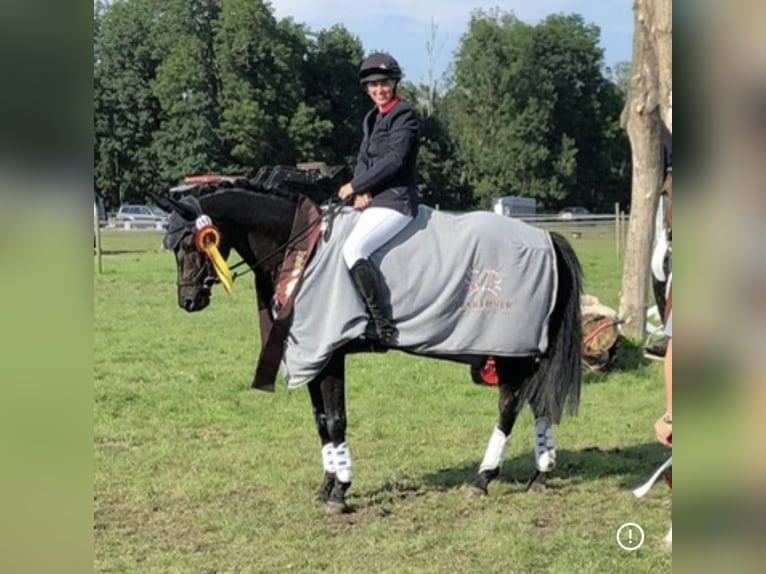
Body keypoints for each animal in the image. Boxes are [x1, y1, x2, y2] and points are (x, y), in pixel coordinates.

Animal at [153, 185, 583, 513]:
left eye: (192, 244)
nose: (188, 301)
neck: (302, 249)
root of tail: (546, 239)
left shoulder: (328, 353)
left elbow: (335, 421)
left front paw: (341, 491)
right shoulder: (314, 357)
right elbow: (321, 422)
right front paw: (326, 486)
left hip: (510, 351)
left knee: (510, 407)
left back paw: (483, 478)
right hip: (523, 352)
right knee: (538, 403)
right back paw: (541, 473)